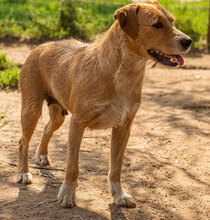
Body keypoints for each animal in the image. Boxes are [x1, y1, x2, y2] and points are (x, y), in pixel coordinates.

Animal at [17, 0, 192, 208]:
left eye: (172, 21)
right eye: (157, 24)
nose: (188, 41)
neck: (121, 74)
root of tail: (41, 46)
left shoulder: (123, 127)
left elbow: (116, 168)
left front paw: (119, 195)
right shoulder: (77, 124)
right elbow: (72, 167)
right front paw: (67, 194)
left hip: (59, 113)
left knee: (46, 129)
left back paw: (42, 155)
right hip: (31, 109)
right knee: (23, 142)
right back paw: (23, 173)